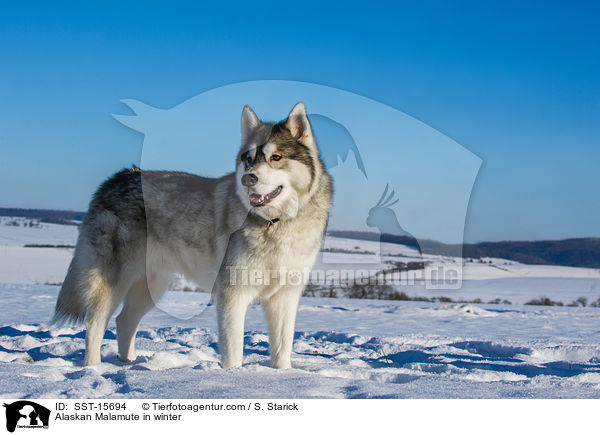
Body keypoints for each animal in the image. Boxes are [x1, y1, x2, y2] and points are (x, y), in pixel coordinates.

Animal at [52, 102, 332, 368]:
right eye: (248, 158)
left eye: (276, 157)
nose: (247, 179)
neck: (275, 223)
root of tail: (118, 177)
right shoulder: (233, 294)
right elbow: (234, 353)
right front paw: (236, 377)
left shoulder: (284, 297)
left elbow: (282, 351)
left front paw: (282, 375)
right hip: (112, 281)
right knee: (95, 325)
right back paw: (93, 368)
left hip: (152, 285)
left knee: (124, 320)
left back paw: (127, 363)